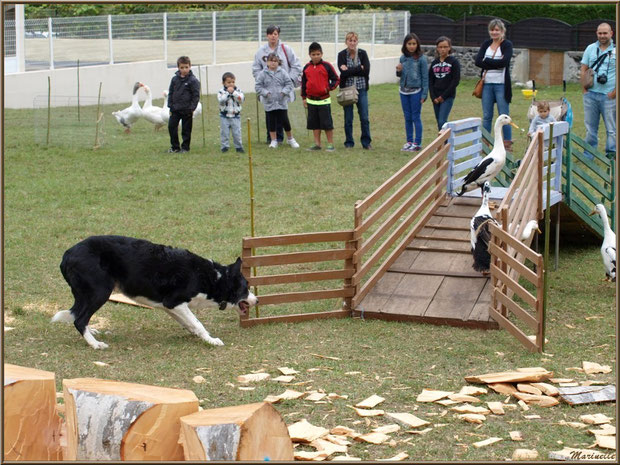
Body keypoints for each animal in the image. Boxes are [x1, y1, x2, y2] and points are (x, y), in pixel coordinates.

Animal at [51, 236, 256, 348]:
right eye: (246, 286)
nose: (258, 300)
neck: (213, 278)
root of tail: (67, 255)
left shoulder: (170, 306)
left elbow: (189, 323)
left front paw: (198, 336)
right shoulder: (174, 302)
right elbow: (197, 323)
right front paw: (211, 340)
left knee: (80, 315)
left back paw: (92, 332)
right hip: (100, 292)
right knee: (79, 319)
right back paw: (95, 344)